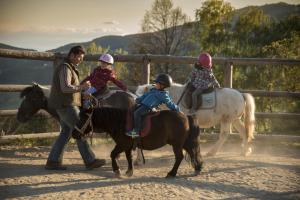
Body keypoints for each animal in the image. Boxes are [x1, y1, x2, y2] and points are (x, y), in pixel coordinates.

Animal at [71, 107, 203, 177]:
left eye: (82, 118)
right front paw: (129, 171)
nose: (74, 133)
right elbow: (129, 157)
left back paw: (172, 173)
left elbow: (113, 154)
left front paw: (117, 170)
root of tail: (186, 116)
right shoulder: (128, 146)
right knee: (192, 153)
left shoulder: (122, 144)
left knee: (179, 157)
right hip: (185, 143)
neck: (119, 121)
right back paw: (197, 168)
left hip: (177, 144)